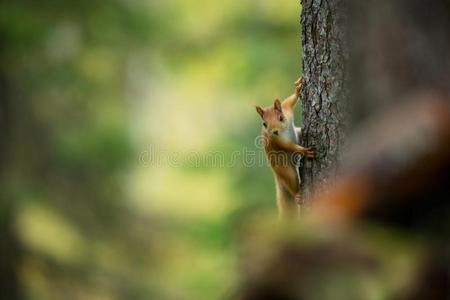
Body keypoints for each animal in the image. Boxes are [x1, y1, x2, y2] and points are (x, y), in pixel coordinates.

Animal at [255, 78, 314, 218]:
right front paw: (303, 151)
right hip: (286, 170)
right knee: (292, 184)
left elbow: (289, 101)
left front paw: (298, 88)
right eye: (264, 124)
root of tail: (277, 176)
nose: (274, 131)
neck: (284, 130)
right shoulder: (275, 141)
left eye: (281, 118)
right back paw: (297, 195)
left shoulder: (286, 109)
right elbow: (288, 146)